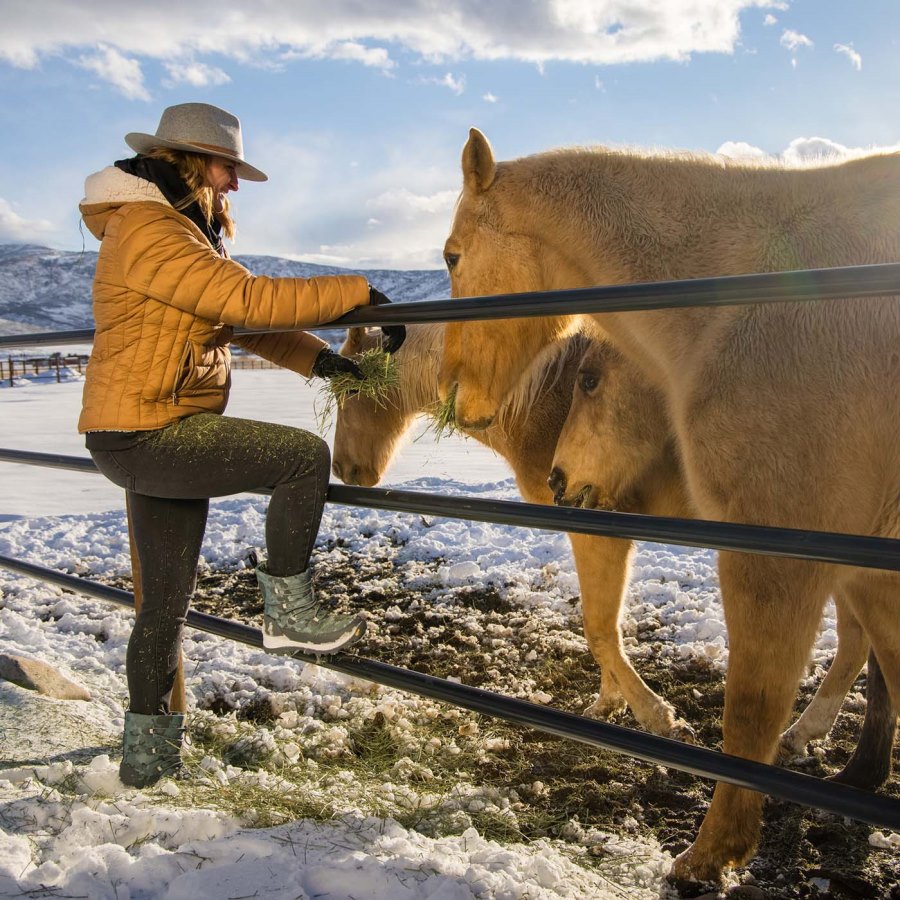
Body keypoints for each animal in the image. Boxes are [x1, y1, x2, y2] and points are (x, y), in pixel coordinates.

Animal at [438, 126, 900, 884]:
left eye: (452, 255)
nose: (457, 395)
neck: (733, 306)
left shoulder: (776, 552)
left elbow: (751, 708)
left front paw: (711, 855)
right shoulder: (868, 566)